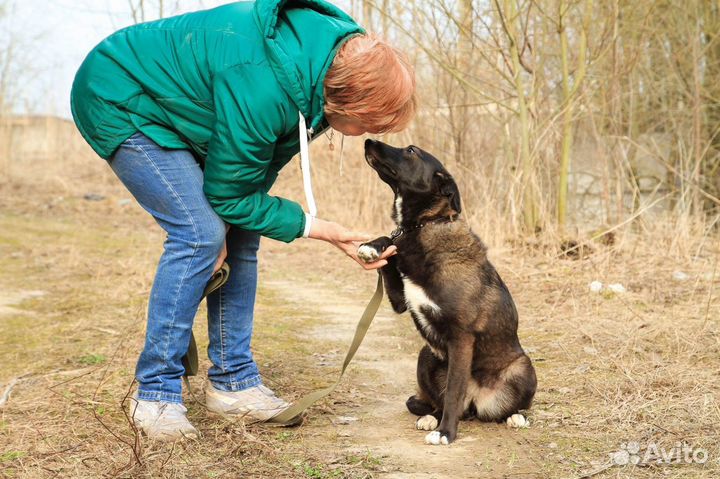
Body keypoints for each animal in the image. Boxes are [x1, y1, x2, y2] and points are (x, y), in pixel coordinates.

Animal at [358, 139, 536, 446]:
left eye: (411, 151)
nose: (369, 140)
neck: (425, 224)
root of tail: (476, 403)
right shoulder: (400, 302)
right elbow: (390, 246)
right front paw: (373, 246)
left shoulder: (461, 338)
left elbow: (453, 390)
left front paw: (446, 433)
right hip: (427, 355)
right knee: (435, 402)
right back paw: (431, 417)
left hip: (523, 367)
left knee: (500, 407)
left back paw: (515, 417)